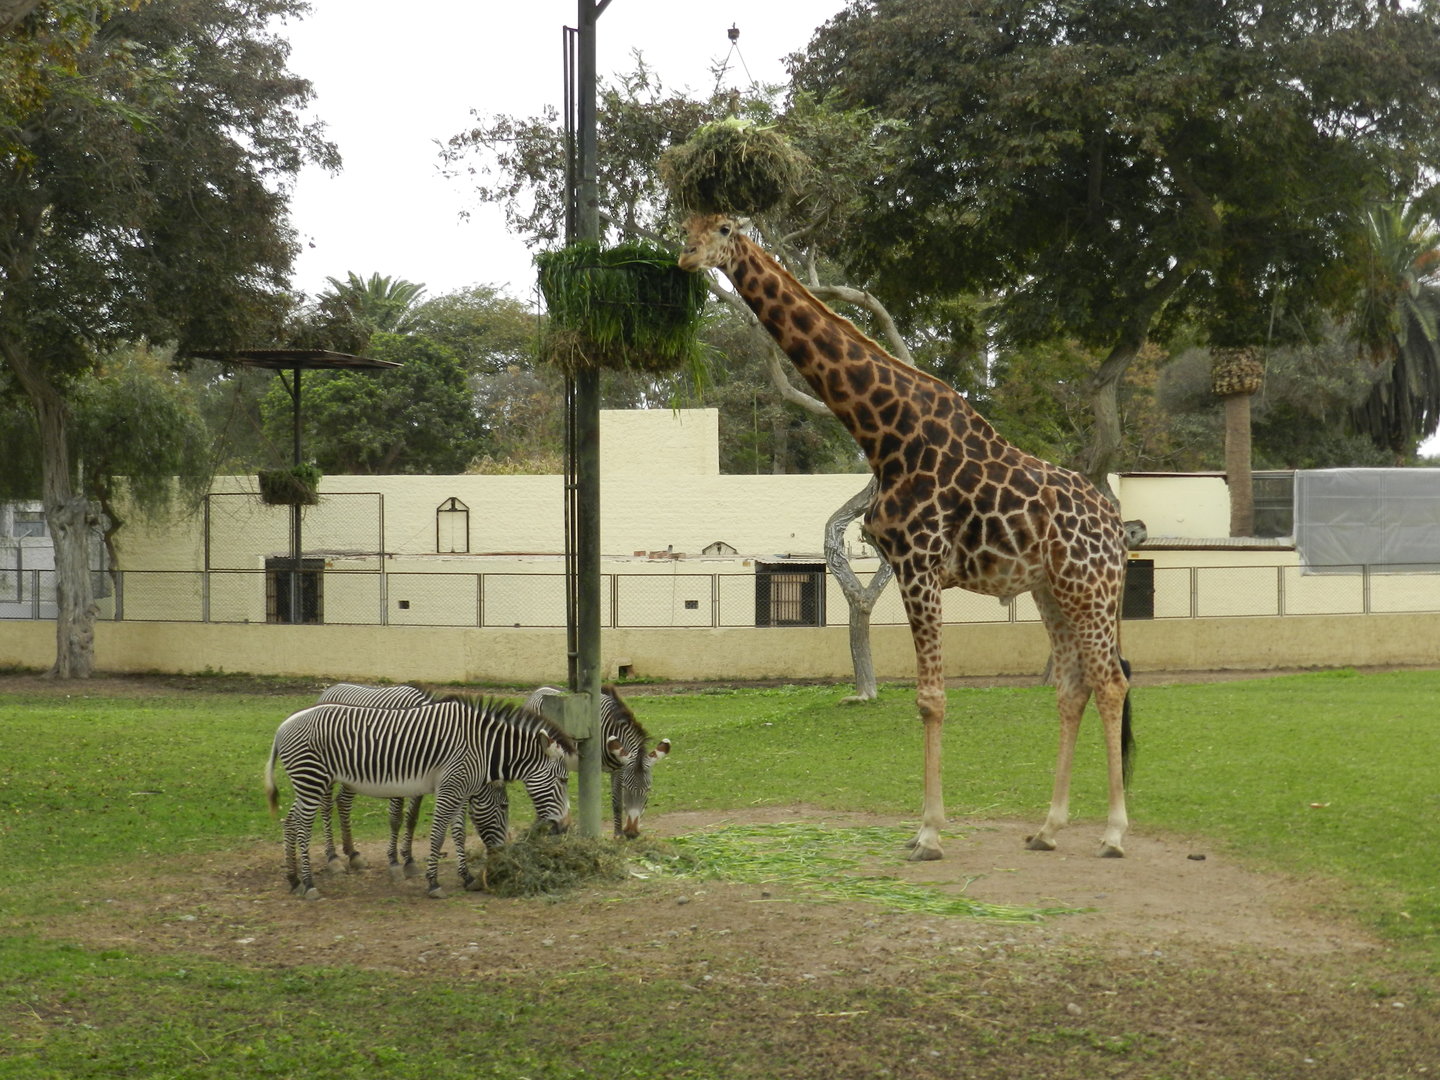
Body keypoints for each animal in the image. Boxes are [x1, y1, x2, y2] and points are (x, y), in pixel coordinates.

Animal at [265, 696, 577, 899]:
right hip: (312, 779)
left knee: (290, 822)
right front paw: (433, 882)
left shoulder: (461, 790)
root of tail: (281, 727)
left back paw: (294, 879)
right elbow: (438, 835)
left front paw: (467, 878)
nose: (565, 827)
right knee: (303, 828)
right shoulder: (450, 787)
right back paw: (309, 884)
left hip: (308, 783)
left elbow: (458, 834)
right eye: (563, 780)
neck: (484, 748)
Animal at [525, 684, 671, 838]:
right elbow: (616, 801)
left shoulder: (619, 768)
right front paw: (618, 835)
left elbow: (617, 803)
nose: (631, 833)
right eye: (626, 788)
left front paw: (618, 834)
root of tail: (539, 689)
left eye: (648, 790)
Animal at [679, 214, 1133, 861]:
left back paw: (1115, 834)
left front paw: (928, 834)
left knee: (1110, 682)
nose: (687, 256)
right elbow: (928, 695)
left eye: (721, 227)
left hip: (1089, 586)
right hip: (1052, 589)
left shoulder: (920, 562)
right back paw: (1047, 829)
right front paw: (928, 828)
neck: (886, 433)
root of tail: (1116, 527)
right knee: (1073, 687)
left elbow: (931, 698)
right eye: (683, 222)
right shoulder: (905, 565)